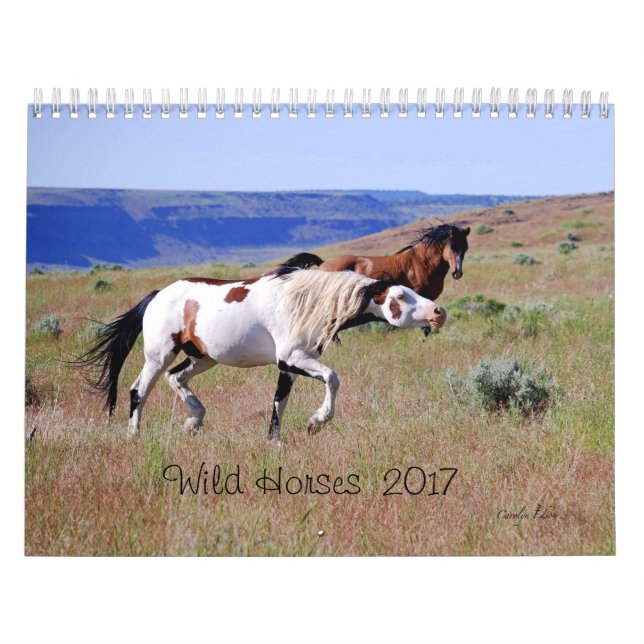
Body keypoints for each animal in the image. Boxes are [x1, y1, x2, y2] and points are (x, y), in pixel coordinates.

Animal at [74, 263, 447, 441]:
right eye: (400, 297)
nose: (438, 312)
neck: (305, 302)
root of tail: (156, 295)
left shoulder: (291, 365)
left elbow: (279, 401)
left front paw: (276, 442)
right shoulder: (293, 359)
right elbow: (333, 378)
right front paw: (316, 422)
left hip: (202, 358)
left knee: (175, 378)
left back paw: (193, 421)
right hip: (159, 354)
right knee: (139, 390)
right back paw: (134, 436)